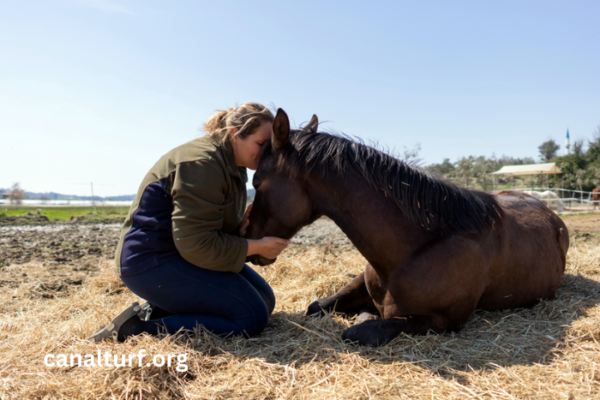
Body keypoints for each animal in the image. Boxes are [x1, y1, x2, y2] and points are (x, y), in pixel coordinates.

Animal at [246, 109, 568, 346]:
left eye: (257, 182)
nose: (248, 237)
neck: (414, 250)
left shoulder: (440, 320)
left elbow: (359, 330)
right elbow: (317, 306)